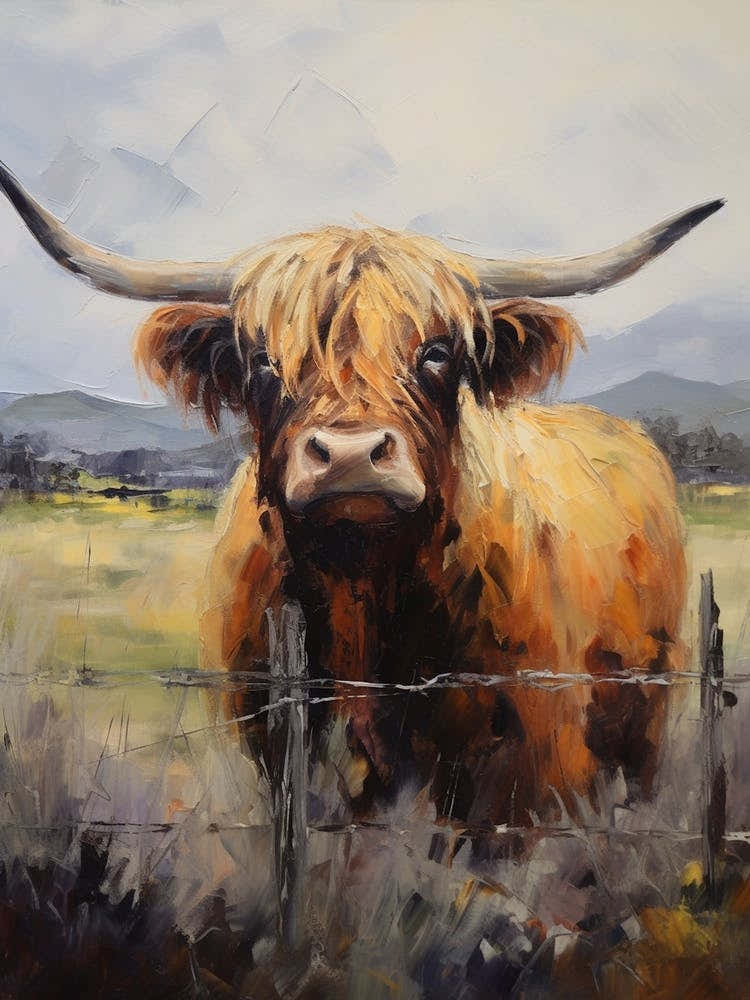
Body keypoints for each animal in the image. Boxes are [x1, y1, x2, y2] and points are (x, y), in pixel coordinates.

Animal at [0, 162, 723, 827]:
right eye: (263, 360)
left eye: (436, 353)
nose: (350, 456)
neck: (362, 597)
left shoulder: (533, 774)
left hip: (649, 711)